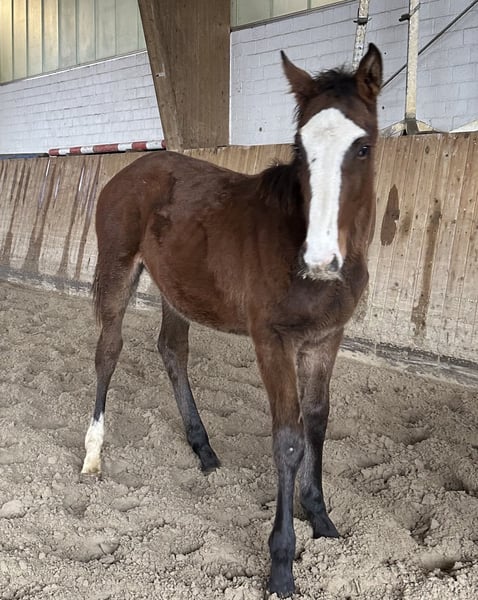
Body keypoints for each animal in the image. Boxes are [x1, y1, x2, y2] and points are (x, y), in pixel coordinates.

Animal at [81, 44, 382, 597]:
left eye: (363, 147)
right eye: (300, 148)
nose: (319, 260)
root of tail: (131, 170)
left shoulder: (325, 340)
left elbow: (317, 424)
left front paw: (322, 520)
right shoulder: (271, 341)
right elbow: (287, 439)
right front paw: (282, 565)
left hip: (177, 288)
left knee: (171, 350)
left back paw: (203, 451)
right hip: (116, 268)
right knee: (108, 352)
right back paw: (93, 455)